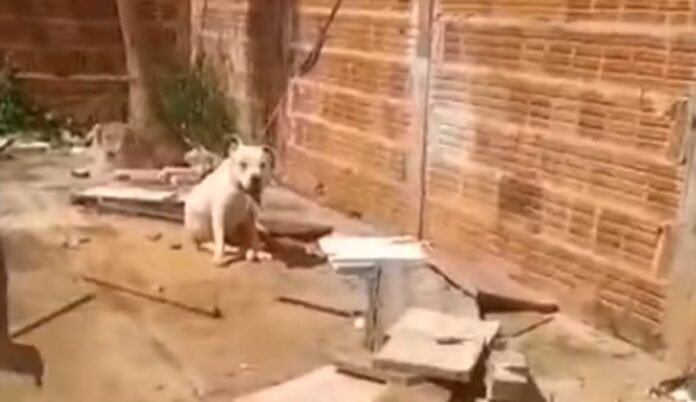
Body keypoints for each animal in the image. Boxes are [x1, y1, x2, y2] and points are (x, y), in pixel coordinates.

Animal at [184, 136, 275, 266]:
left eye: (263, 165)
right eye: (243, 164)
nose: (256, 177)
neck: (241, 191)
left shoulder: (250, 217)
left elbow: (254, 238)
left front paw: (258, 252)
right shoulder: (219, 213)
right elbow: (220, 238)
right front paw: (219, 256)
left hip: (240, 226)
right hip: (201, 222)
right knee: (206, 242)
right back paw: (229, 249)